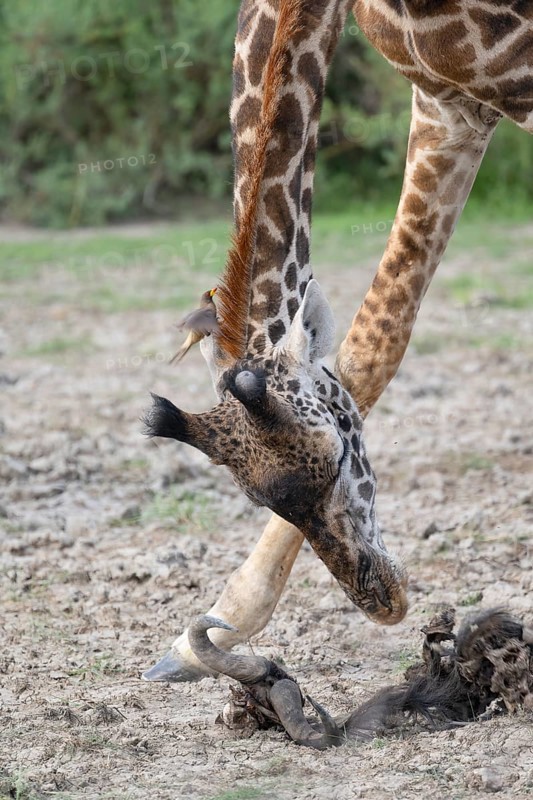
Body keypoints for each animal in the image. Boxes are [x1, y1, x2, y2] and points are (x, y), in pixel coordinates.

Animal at [143, 0, 533, 682]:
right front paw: (220, 622)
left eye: (332, 462)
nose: (383, 600)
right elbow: (374, 342)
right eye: (258, 497)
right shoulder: (448, 108)